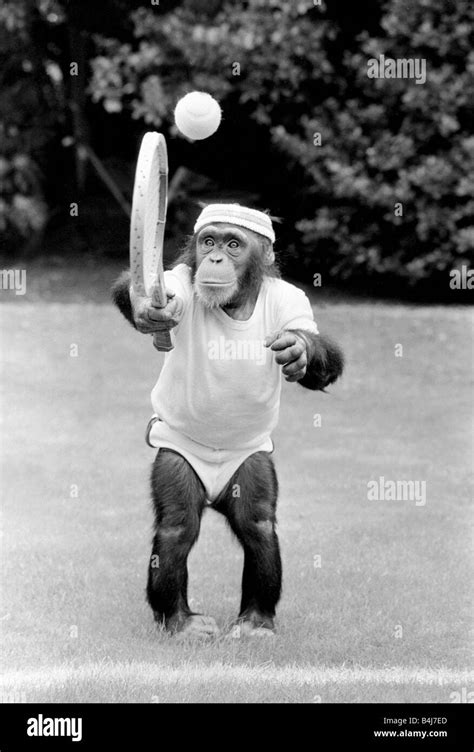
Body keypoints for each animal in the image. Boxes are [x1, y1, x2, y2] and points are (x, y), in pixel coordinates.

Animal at [115, 203, 344, 636]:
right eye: (208, 241)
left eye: (233, 244)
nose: (216, 258)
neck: (237, 303)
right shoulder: (182, 283)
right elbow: (151, 294)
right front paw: (145, 306)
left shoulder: (293, 301)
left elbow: (315, 353)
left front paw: (299, 348)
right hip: (178, 457)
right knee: (178, 525)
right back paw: (179, 620)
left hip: (248, 465)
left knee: (257, 524)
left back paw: (255, 620)